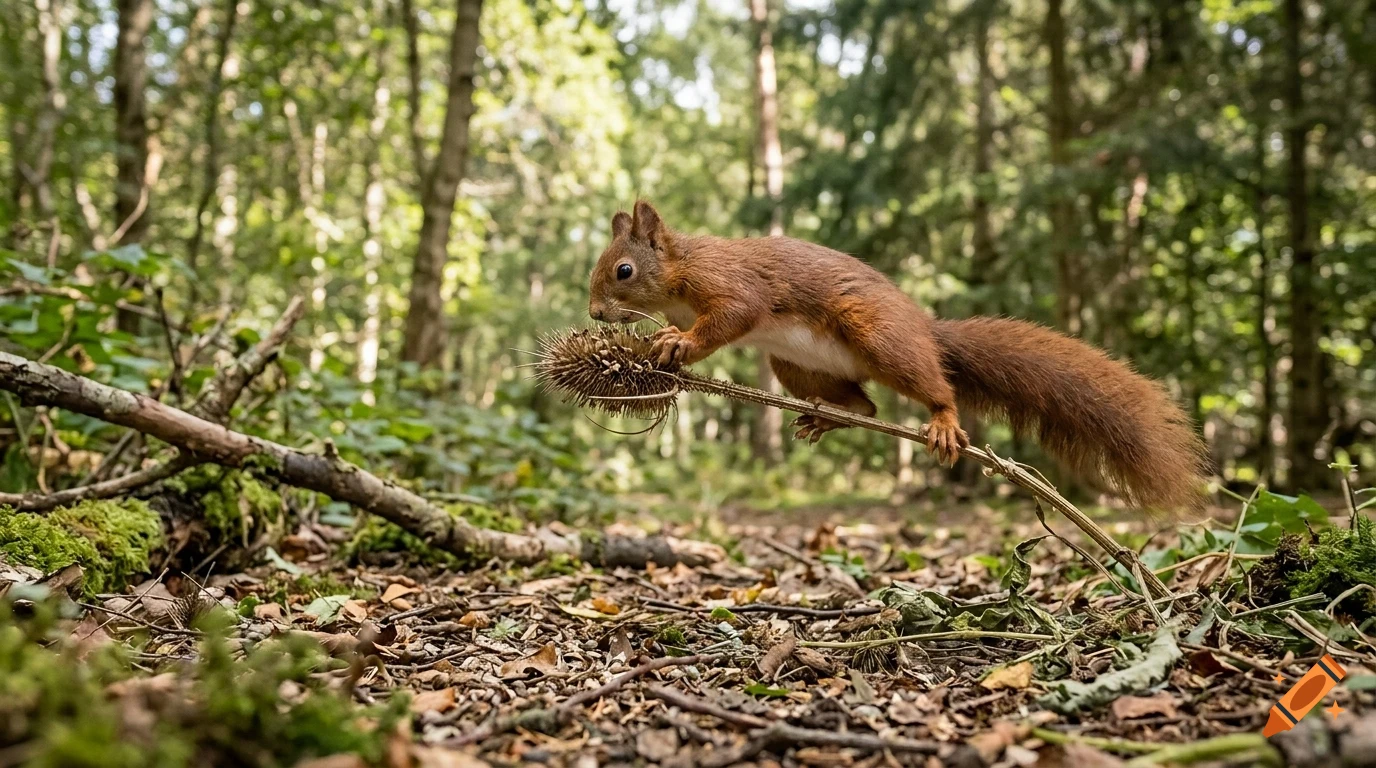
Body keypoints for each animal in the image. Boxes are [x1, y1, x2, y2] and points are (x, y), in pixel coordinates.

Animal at [587, 201, 1211, 513]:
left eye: (624, 270)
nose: (594, 313)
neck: (681, 270)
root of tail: (925, 329)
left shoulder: (731, 286)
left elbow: (733, 316)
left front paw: (681, 343)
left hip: (879, 338)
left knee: (934, 387)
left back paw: (942, 421)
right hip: (797, 367)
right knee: (865, 406)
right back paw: (828, 417)